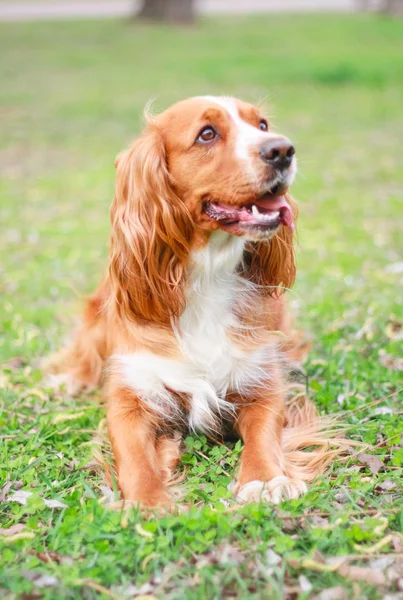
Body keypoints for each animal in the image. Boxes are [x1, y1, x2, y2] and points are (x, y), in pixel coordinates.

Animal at [49, 97, 342, 506]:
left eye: (263, 125)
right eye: (207, 134)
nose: (283, 150)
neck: (206, 276)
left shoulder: (261, 381)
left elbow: (265, 432)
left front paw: (265, 478)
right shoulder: (129, 394)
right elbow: (134, 457)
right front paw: (147, 502)